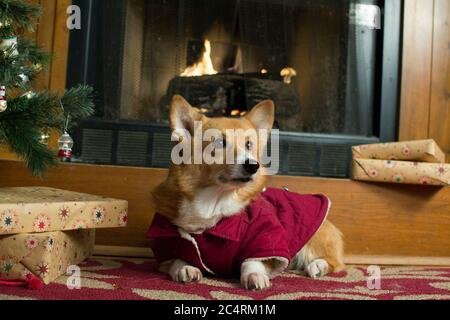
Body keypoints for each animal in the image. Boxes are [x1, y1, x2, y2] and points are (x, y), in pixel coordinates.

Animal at [151, 95, 344, 290]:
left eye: (249, 144)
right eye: (220, 143)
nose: (252, 166)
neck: (213, 203)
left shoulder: (264, 237)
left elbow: (252, 260)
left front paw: (254, 275)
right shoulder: (166, 245)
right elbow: (177, 258)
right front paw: (186, 268)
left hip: (313, 240)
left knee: (335, 263)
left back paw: (317, 266)